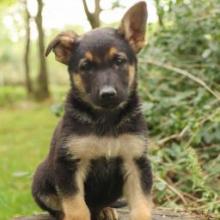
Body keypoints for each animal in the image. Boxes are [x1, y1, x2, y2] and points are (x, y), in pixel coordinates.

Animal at [32, 1, 152, 220]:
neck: (106, 120)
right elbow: (76, 206)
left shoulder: (136, 162)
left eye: (119, 61)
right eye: (86, 66)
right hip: (41, 178)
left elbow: (141, 204)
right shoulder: (69, 166)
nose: (108, 94)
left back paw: (106, 209)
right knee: (59, 207)